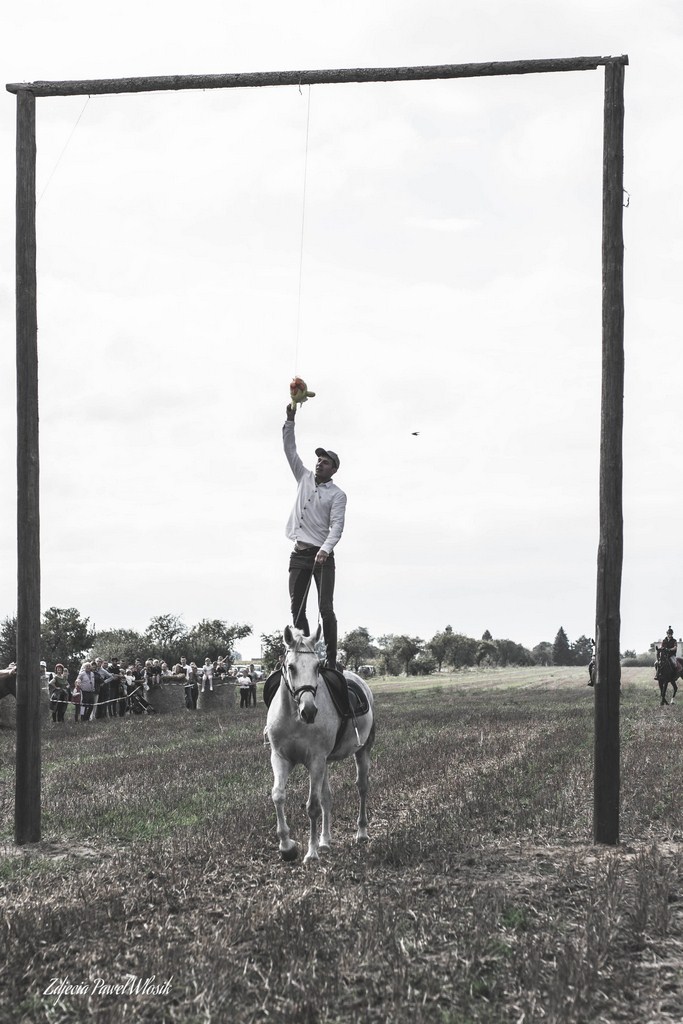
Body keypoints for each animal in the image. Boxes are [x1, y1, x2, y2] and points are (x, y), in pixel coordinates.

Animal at [266, 622, 374, 864]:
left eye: (317, 667)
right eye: (291, 667)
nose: (309, 711)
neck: (295, 717)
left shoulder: (315, 760)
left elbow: (313, 806)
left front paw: (311, 852)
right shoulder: (280, 758)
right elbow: (278, 795)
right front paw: (287, 846)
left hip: (361, 751)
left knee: (362, 787)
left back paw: (361, 832)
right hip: (324, 762)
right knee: (327, 797)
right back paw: (325, 841)